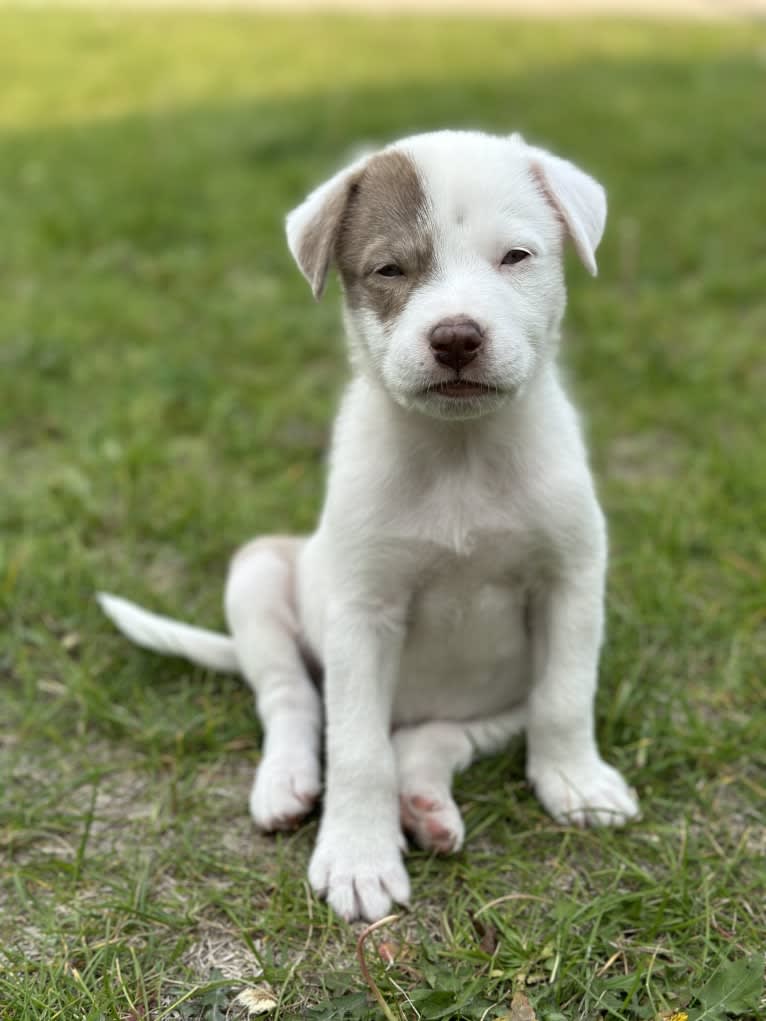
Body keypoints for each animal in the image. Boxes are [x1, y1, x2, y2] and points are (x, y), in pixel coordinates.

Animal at [102, 129, 641, 927]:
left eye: (516, 257)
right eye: (389, 269)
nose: (456, 337)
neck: (459, 454)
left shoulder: (571, 582)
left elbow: (566, 698)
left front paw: (575, 780)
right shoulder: (362, 611)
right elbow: (355, 746)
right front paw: (358, 855)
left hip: (497, 695)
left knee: (435, 735)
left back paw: (424, 802)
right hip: (259, 571)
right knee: (295, 700)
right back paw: (289, 781)